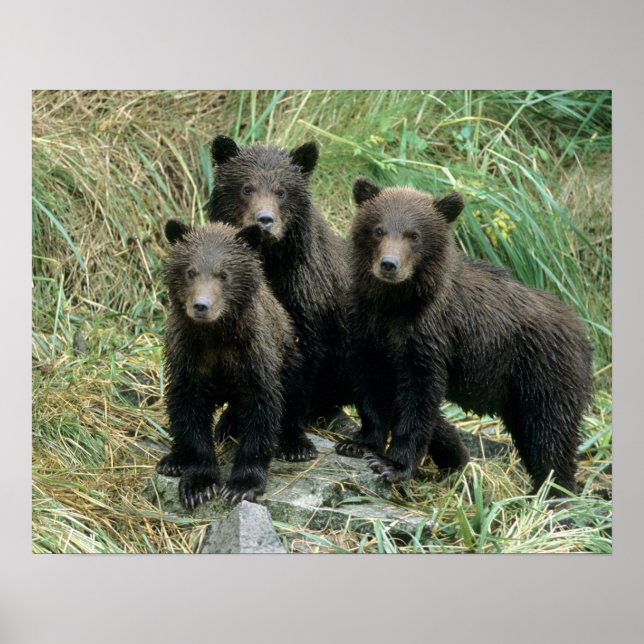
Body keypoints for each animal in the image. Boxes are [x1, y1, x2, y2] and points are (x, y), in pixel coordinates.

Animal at [156, 219, 309, 507]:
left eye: (223, 274)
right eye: (191, 271)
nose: (201, 305)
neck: (217, 335)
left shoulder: (253, 357)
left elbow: (261, 410)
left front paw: (241, 485)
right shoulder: (189, 358)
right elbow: (188, 409)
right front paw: (199, 485)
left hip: (290, 356)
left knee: (294, 396)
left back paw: (296, 445)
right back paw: (173, 459)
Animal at [206, 135, 355, 445]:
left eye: (282, 191)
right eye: (246, 187)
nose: (264, 219)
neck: (271, 262)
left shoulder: (305, 299)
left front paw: (293, 440)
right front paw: (228, 424)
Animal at [336, 177, 593, 495]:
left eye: (414, 235)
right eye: (378, 229)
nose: (389, 264)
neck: (396, 304)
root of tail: (582, 333)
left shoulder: (430, 337)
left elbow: (418, 399)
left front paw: (394, 465)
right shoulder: (367, 330)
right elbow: (372, 386)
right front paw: (359, 443)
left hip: (546, 376)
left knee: (550, 436)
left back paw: (555, 493)